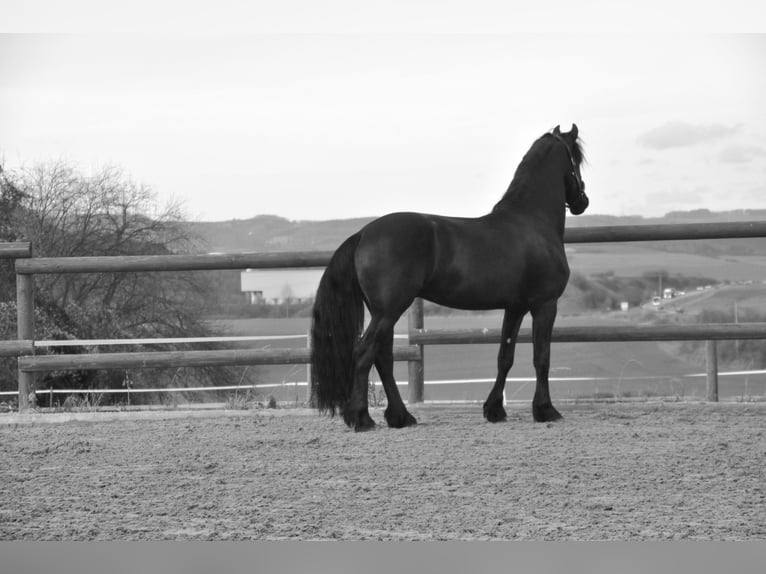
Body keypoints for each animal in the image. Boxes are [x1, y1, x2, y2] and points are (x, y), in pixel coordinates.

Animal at [308, 126, 592, 432]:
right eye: (577, 160)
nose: (582, 202)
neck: (531, 222)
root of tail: (363, 234)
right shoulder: (545, 305)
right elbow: (542, 358)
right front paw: (545, 410)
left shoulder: (515, 307)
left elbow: (505, 357)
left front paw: (495, 409)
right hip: (389, 310)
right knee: (364, 353)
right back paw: (362, 418)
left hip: (382, 312)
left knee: (382, 357)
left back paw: (401, 417)